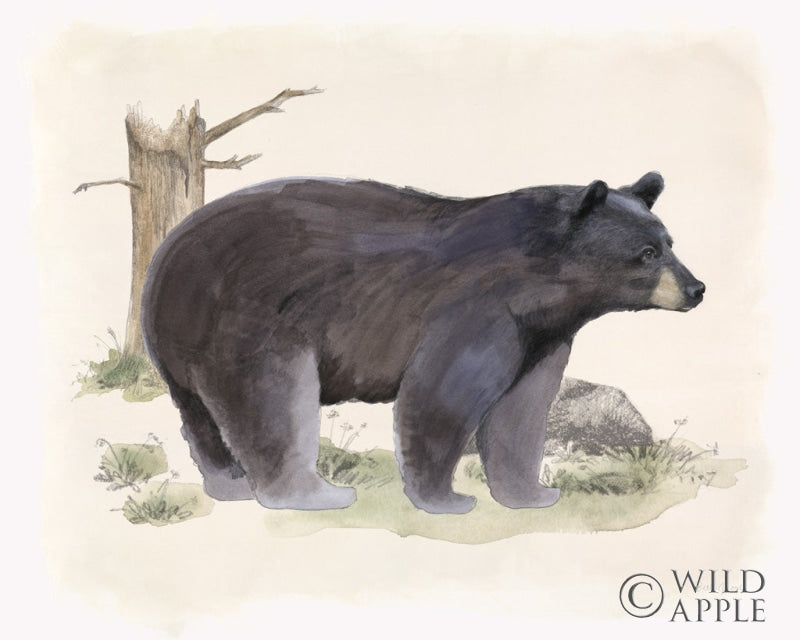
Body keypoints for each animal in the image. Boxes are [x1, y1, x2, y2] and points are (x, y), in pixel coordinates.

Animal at [141, 172, 705, 514]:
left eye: (670, 242)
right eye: (646, 253)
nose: (697, 288)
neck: (541, 282)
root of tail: (167, 257)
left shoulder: (540, 336)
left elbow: (521, 411)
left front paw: (533, 493)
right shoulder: (479, 310)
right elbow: (441, 395)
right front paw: (447, 499)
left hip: (183, 344)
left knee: (199, 415)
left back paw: (230, 485)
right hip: (255, 323)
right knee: (272, 401)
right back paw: (313, 494)